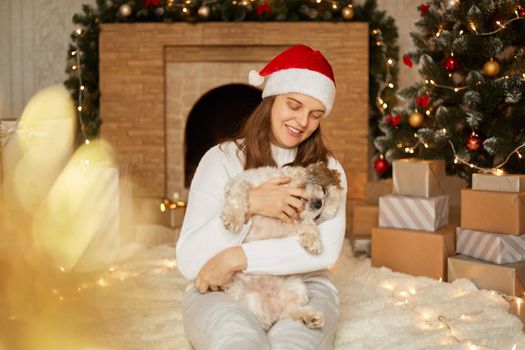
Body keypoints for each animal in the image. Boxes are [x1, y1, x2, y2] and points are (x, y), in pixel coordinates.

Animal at [220, 163, 340, 332]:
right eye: (324, 191)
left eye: (319, 216)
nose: (319, 203)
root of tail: (272, 310)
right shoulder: (242, 181)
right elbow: (240, 193)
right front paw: (234, 217)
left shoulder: (297, 223)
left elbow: (309, 225)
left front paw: (313, 241)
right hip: (250, 299)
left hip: (297, 288)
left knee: (290, 312)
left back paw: (311, 317)